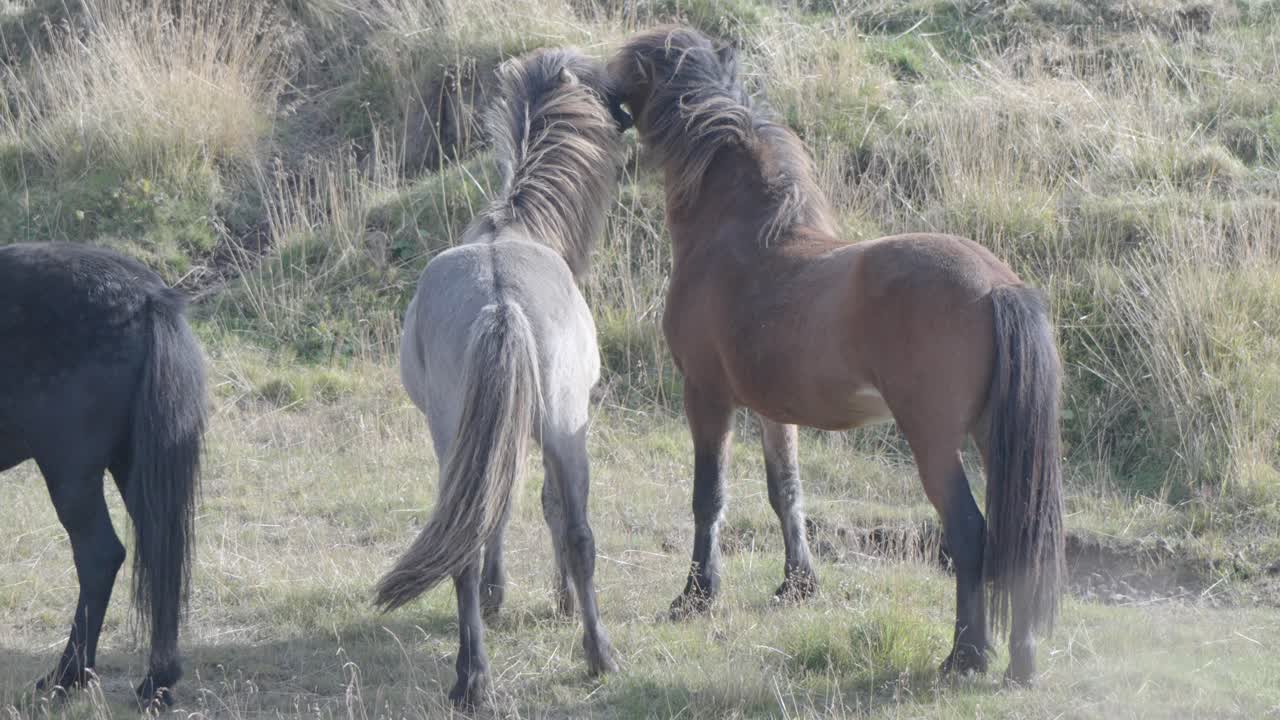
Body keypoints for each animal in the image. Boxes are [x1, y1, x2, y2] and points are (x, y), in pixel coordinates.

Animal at [0, 242, 207, 706]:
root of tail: (148, 298)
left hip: (70, 473)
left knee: (99, 555)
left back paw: (66, 676)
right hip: (132, 466)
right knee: (159, 547)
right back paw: (157, 680)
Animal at [372, 48, 631, 706]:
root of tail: (500, 299)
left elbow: (507, 505)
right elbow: (544, 506)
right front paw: (549, 599)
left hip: (464, 437)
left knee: (473, 535)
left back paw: (476, 674)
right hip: (560, 429)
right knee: (576, 533)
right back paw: (589, 655)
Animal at [609, 26, 1064, 685]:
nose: (602, 94)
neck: (737, 236)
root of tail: (998, 286)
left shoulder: (707, 396)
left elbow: (709, 497)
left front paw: (696, 596)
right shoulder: (770, 409)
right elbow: (786, 492)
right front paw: (797, 585)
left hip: (933, 441)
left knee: (969, 533)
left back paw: (965, 656)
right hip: (991, 437)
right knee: (1019, 536)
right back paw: (1019, 666)